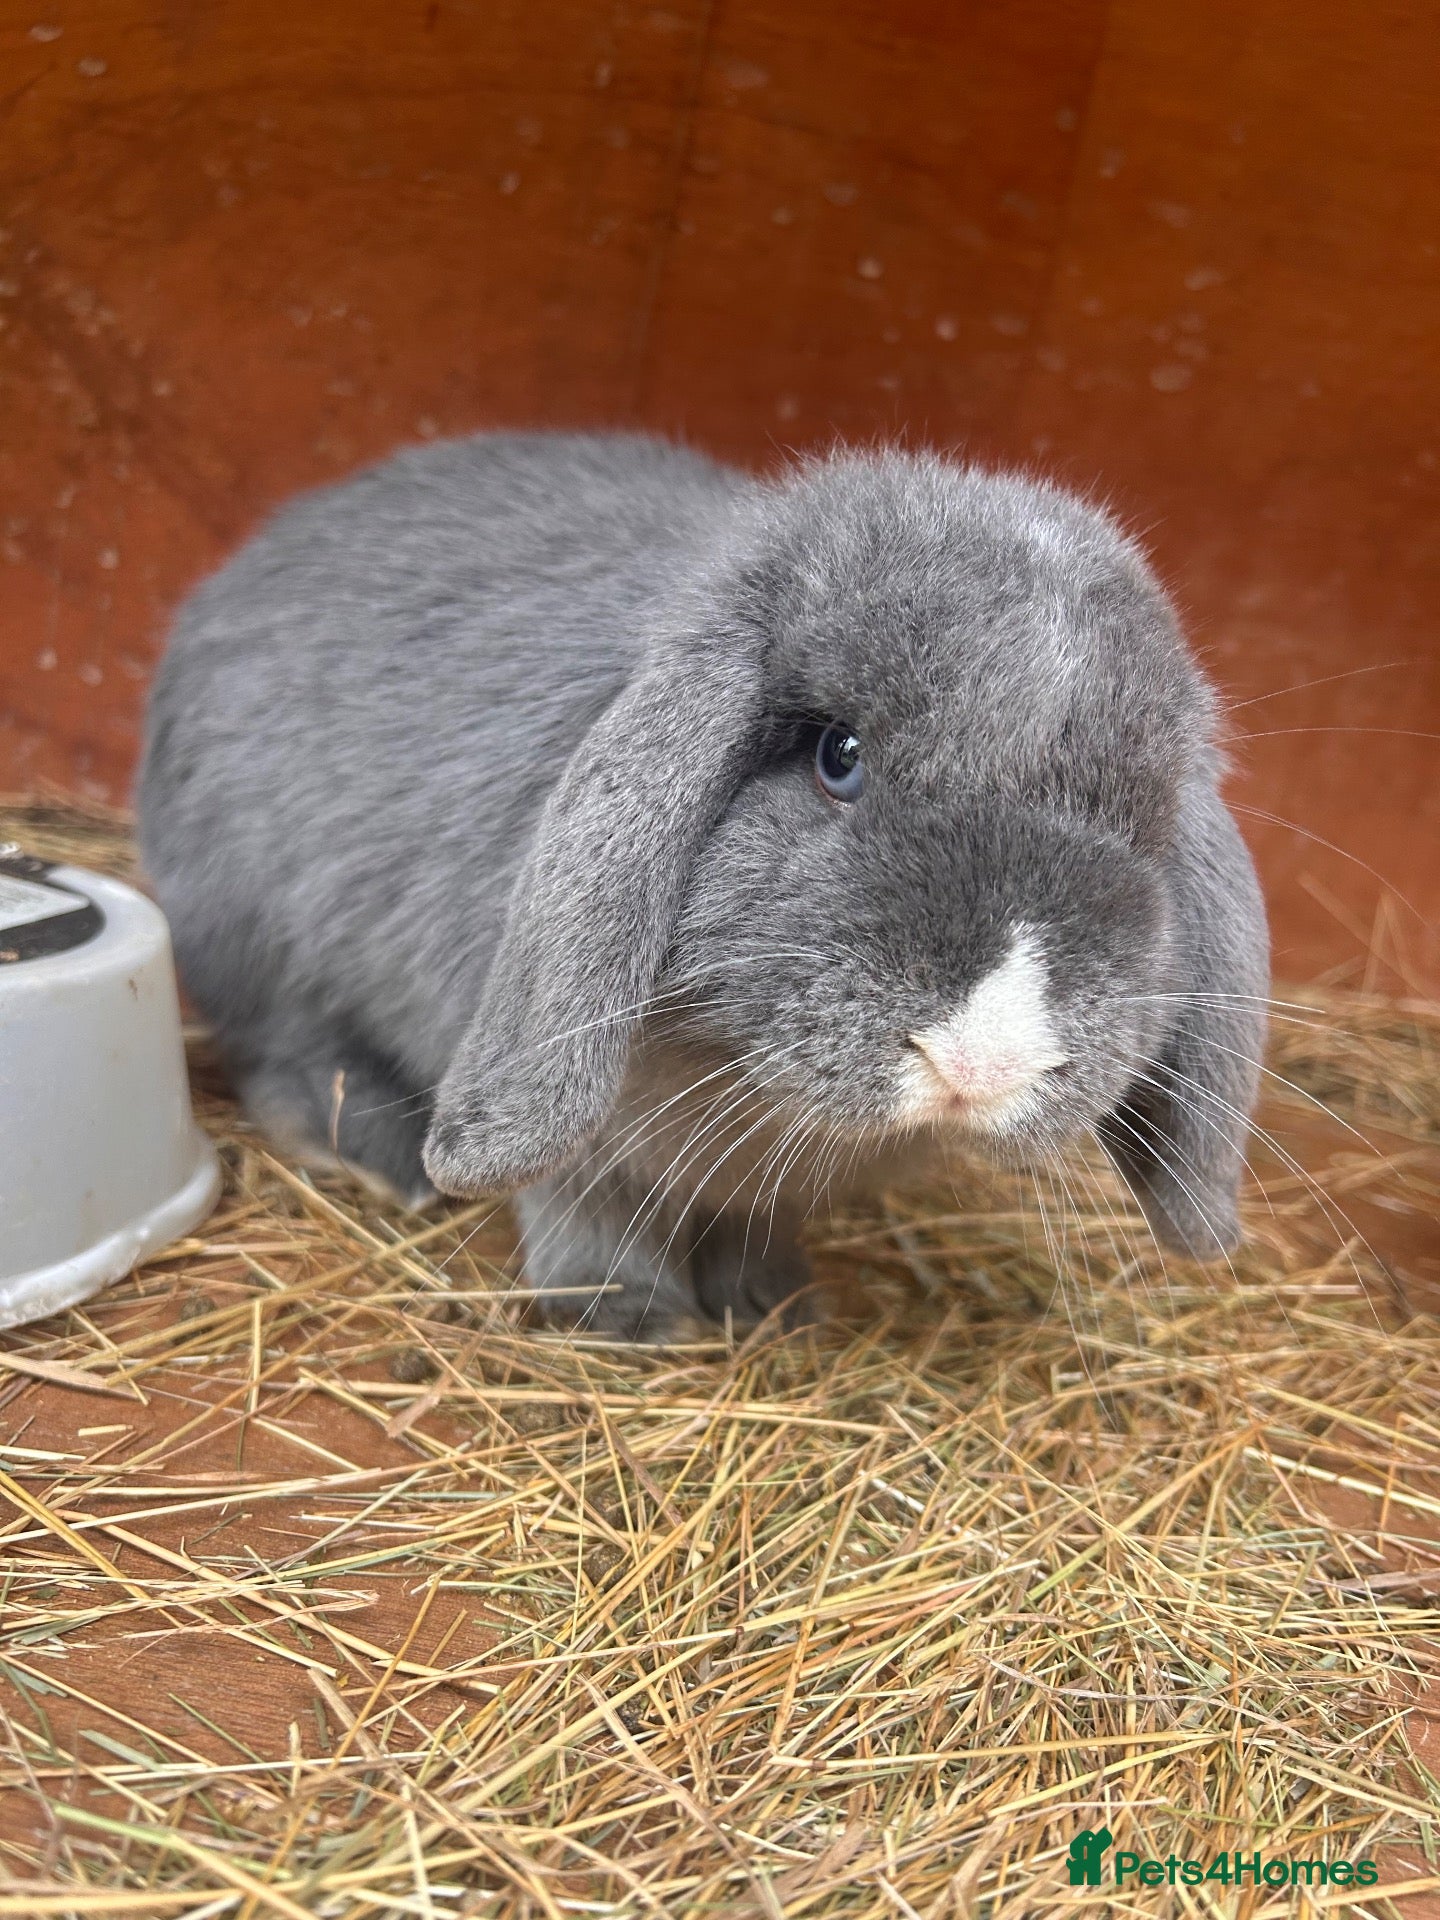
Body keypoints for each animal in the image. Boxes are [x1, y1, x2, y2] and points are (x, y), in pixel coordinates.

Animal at [139, 431, 1269, 1340]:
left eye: (1143, 820)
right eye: (838, 755)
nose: (982, 1060)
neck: (749, 1082)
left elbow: (753, 1222)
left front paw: (778, 1305)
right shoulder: (579, 1124)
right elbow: (584, 1203)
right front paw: (628, 1319)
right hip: (253, 936)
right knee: (285, 1056)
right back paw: (380, 1158)